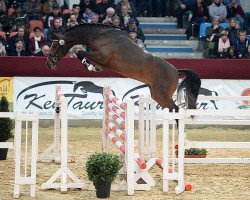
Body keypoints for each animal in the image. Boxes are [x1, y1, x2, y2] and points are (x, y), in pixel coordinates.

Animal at [47, 23, 201, 111]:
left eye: (54, 46)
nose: (48, 63)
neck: (99, 35)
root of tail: (176, 71)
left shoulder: (102, 56)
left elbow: (80, 52)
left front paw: (90, 67)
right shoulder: (100, 58)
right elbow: (84, 55)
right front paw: (94, 68)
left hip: (161, 95)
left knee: (175, 109)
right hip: (157, 95)